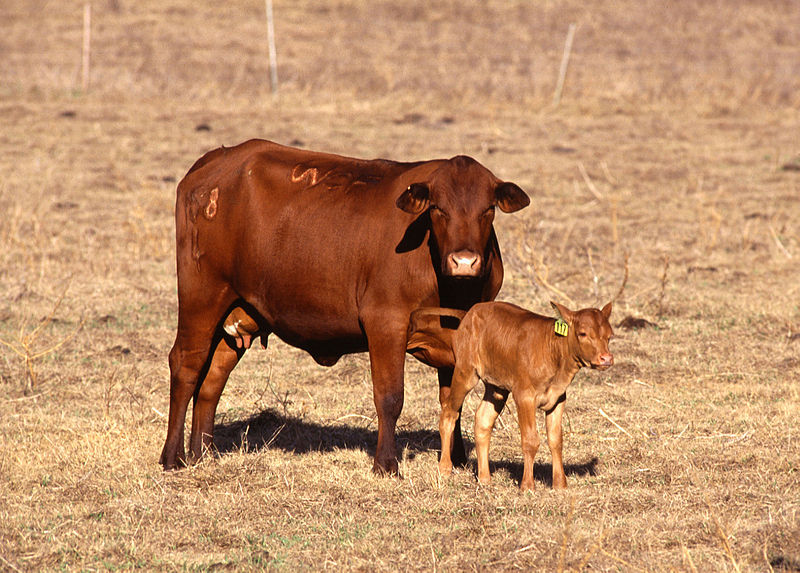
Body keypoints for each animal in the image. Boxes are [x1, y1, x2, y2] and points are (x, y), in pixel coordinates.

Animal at [159, 139, 528, 474]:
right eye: (438, 209)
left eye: (488, 210)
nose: (464, 261)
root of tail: (217, 159)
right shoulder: (385, 323)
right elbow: (389, 397)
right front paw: (386, 464)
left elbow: (454, 399)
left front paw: (458, 460)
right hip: (202, 296)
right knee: (187, 365)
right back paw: (172, 457)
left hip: (238, 312)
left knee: (212, 379)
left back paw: (203, 454)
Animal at [410, 298, 616, 490]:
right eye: (583, 333)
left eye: (609, 336)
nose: (606, 358)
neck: (553, 351)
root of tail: (471, 311)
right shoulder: (524, 396)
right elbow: (531, 440)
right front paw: (527, 486)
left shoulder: (558, 398)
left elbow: (556, 440)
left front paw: (560, 484)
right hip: (465, 371)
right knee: (449, 413)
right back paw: (445, 468)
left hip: (496, 387)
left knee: (483, 420)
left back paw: (484, 478)